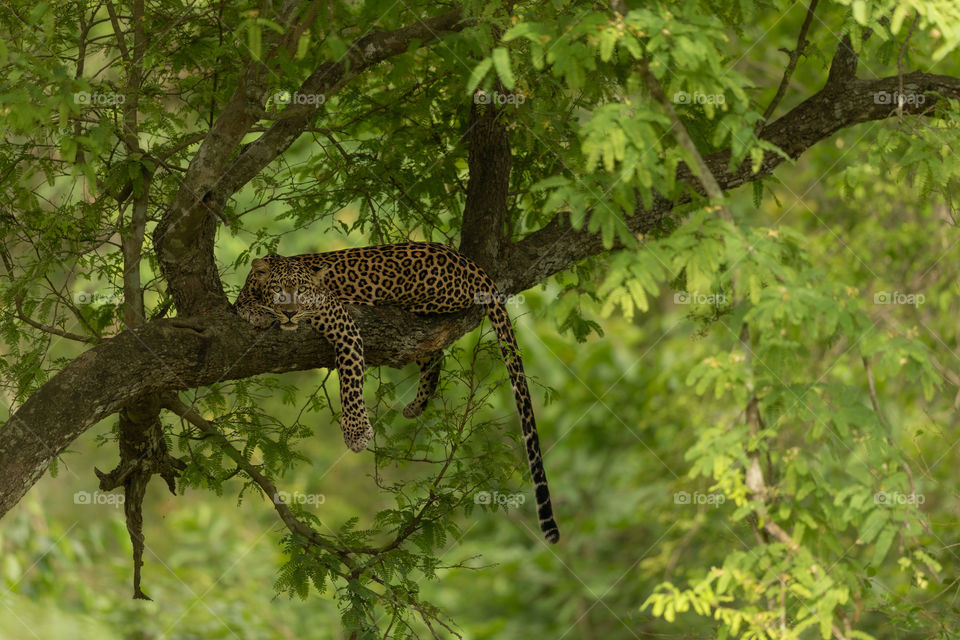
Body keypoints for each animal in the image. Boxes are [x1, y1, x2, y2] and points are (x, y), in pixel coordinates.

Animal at [235, 242, 560, 543]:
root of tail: (465, 260)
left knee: (431, 343)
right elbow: (243, 303)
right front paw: (257, 311)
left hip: (424, 300)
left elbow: (350, 377)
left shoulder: (341, 322)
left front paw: (356, 432)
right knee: (433, 353)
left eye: (302, 290)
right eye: (278, 290)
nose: (290, 312)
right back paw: (416, 405)